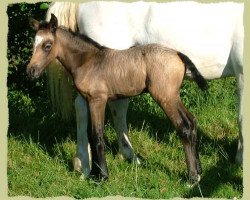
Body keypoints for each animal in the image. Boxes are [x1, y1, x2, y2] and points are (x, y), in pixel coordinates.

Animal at [46, 0, 243, 178]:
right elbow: (241, 118)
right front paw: (240, 159)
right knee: (83, 108)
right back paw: (84, 165)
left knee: (117, 107)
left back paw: (128, 156)